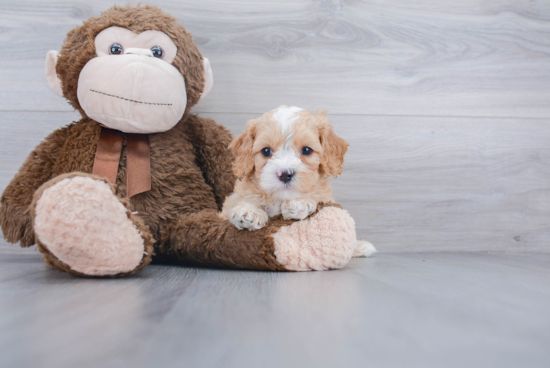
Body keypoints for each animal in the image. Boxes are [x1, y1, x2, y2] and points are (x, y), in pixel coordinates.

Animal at [222, 105, 378, 258]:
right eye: (266, 151)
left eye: (306, 150)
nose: (285, 174)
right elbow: (238, 202)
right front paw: (248, 211)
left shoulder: (325, 198)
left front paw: (299, 203)